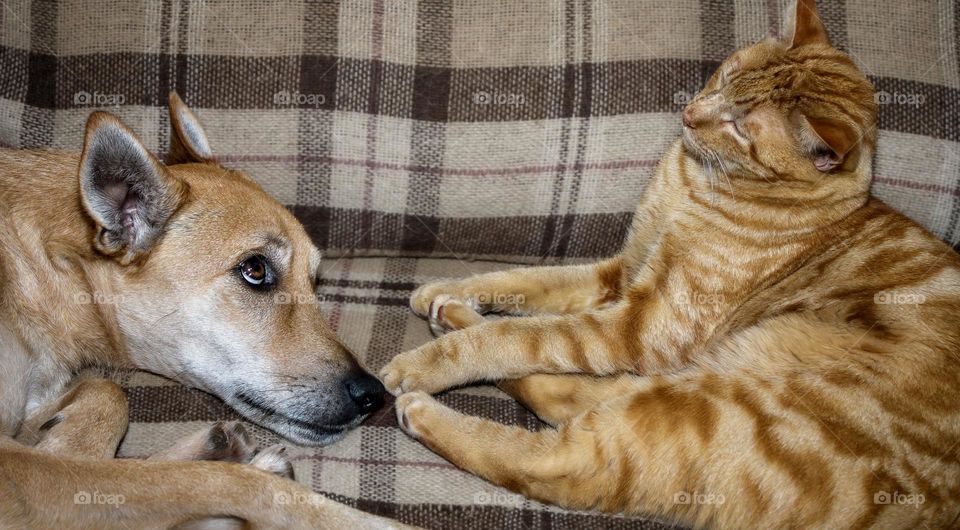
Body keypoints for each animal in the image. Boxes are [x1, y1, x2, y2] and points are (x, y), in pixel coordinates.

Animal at [0, 93, 412, 524]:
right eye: (255, 270)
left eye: (313, 281)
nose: (373, 395)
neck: (51, 267)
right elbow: (233, 485)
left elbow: (107, 395)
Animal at [378, 2, 960, 524]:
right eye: (726, 74)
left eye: (742, 127)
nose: (688, 114)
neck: (695, 181)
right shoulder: (620, 273)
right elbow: (522, 281)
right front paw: (444, 292)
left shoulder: (643, 323)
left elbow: (516, 336)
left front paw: (425, 363)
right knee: (565, 394)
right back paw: (450, 314)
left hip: (733, 407)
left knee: (566, 459)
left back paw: (422, 404)